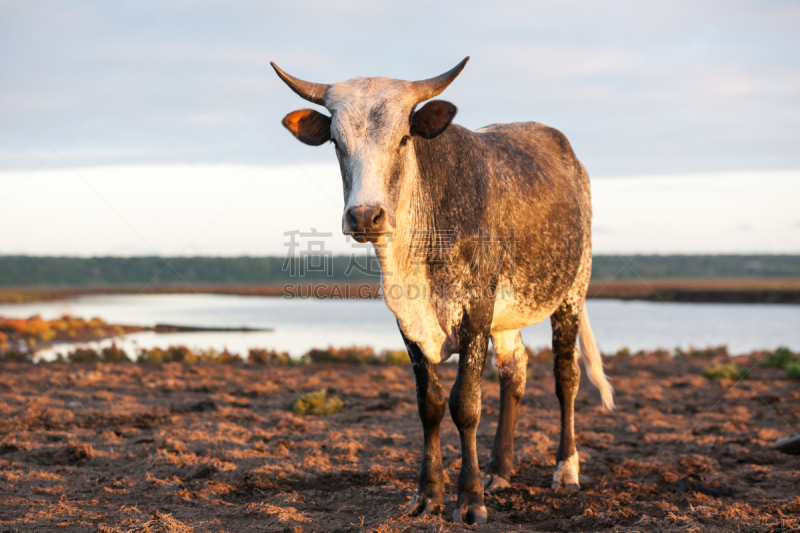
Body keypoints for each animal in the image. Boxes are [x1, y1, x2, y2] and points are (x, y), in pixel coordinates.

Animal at [272, 58, 616, 524]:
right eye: (337, 143)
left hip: (571, 292)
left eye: (403, 138)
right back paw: (499, 470)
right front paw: (428, 496)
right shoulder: (408, 322)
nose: (365, 216)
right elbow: (431, 404)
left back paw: (566, 470)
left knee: (566, 378)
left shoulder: (476, 311)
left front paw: (470, 501)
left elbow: (465, 404)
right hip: (508, 317)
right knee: (515, 372)